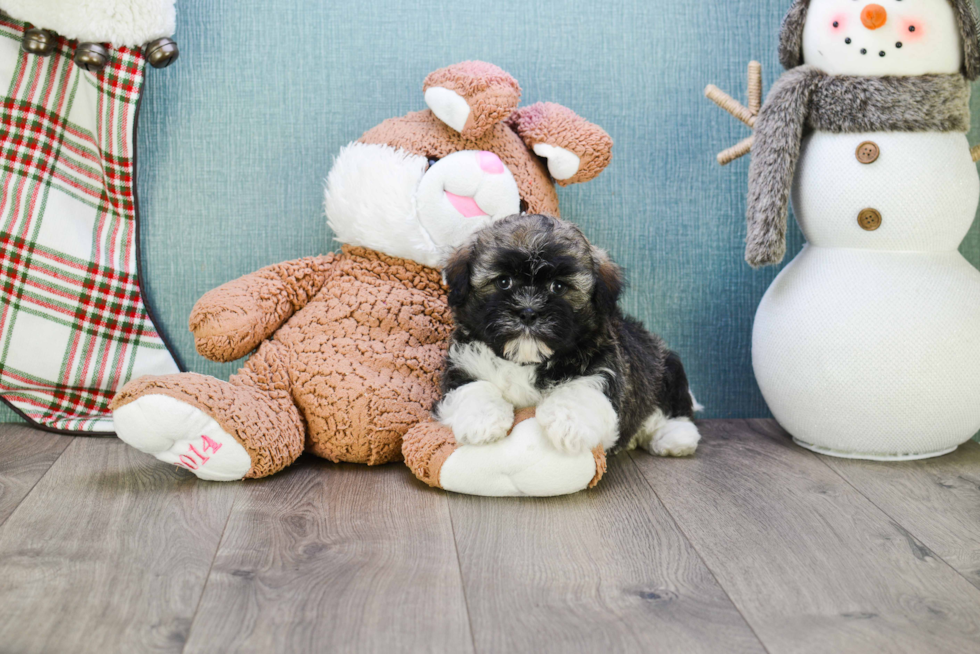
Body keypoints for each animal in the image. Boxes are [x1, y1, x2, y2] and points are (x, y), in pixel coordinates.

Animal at [434, 213, 696, 458]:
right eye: (503, 281)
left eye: (558, 287)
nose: (528, 312)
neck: (525, 361)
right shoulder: (463, 365)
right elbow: (474, 387)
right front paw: (481, 420)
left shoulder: (603, 367)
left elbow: (579, 390)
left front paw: (568, 425)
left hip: (667, 370)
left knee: (673, 410)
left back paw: (675, 437)